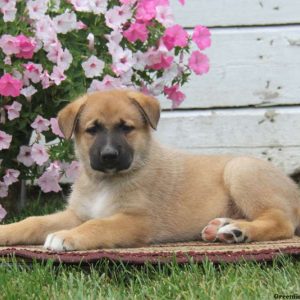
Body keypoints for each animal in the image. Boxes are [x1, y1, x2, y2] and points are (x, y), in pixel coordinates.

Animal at [0, 89, 300, 251]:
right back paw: (222, 226)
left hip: (241, 170)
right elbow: (34, 221)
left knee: (281, 221)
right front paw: (6, 232)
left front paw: (67, 237)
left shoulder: (136, 221)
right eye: (92, 130)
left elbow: (98, 225)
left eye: (126, 128)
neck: (104, 182)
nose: (109, 156)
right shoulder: (77, 214)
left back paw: (237, 231)